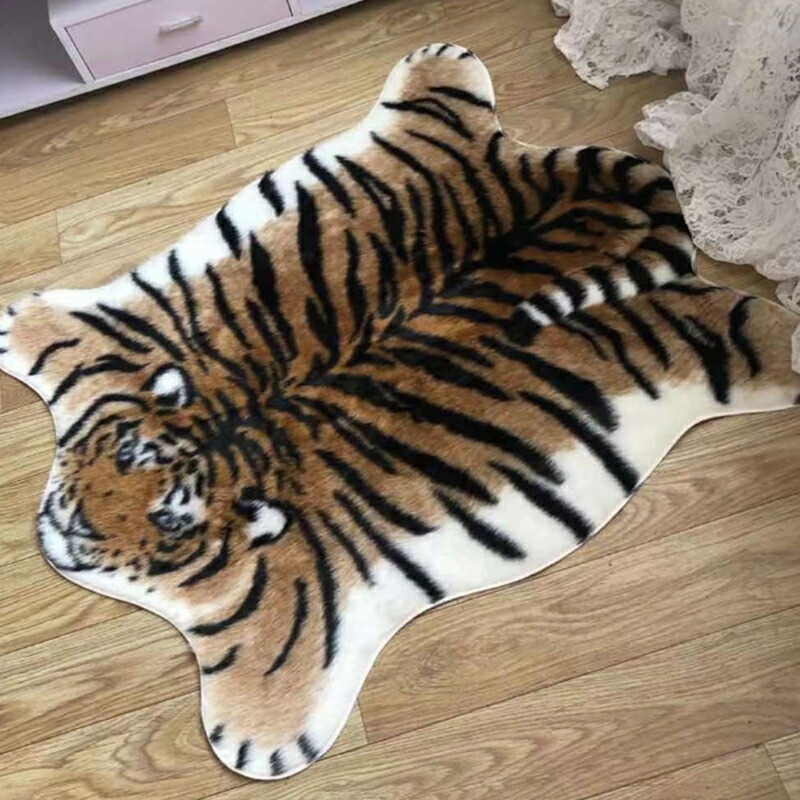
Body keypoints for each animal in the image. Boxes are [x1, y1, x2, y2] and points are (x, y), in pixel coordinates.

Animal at [0, 43, 798, 780]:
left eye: (170, 520)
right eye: (124, 456)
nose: (74, 525)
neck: (232, 431)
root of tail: (576, 174)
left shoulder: (298, 613)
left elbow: (271, 677)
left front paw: (258, 736)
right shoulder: (116, 337)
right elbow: (74, 333)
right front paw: (21, 327)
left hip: (701, 329)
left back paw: (786, 342)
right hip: (437, 131)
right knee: (441, 91)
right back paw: (437, 62)